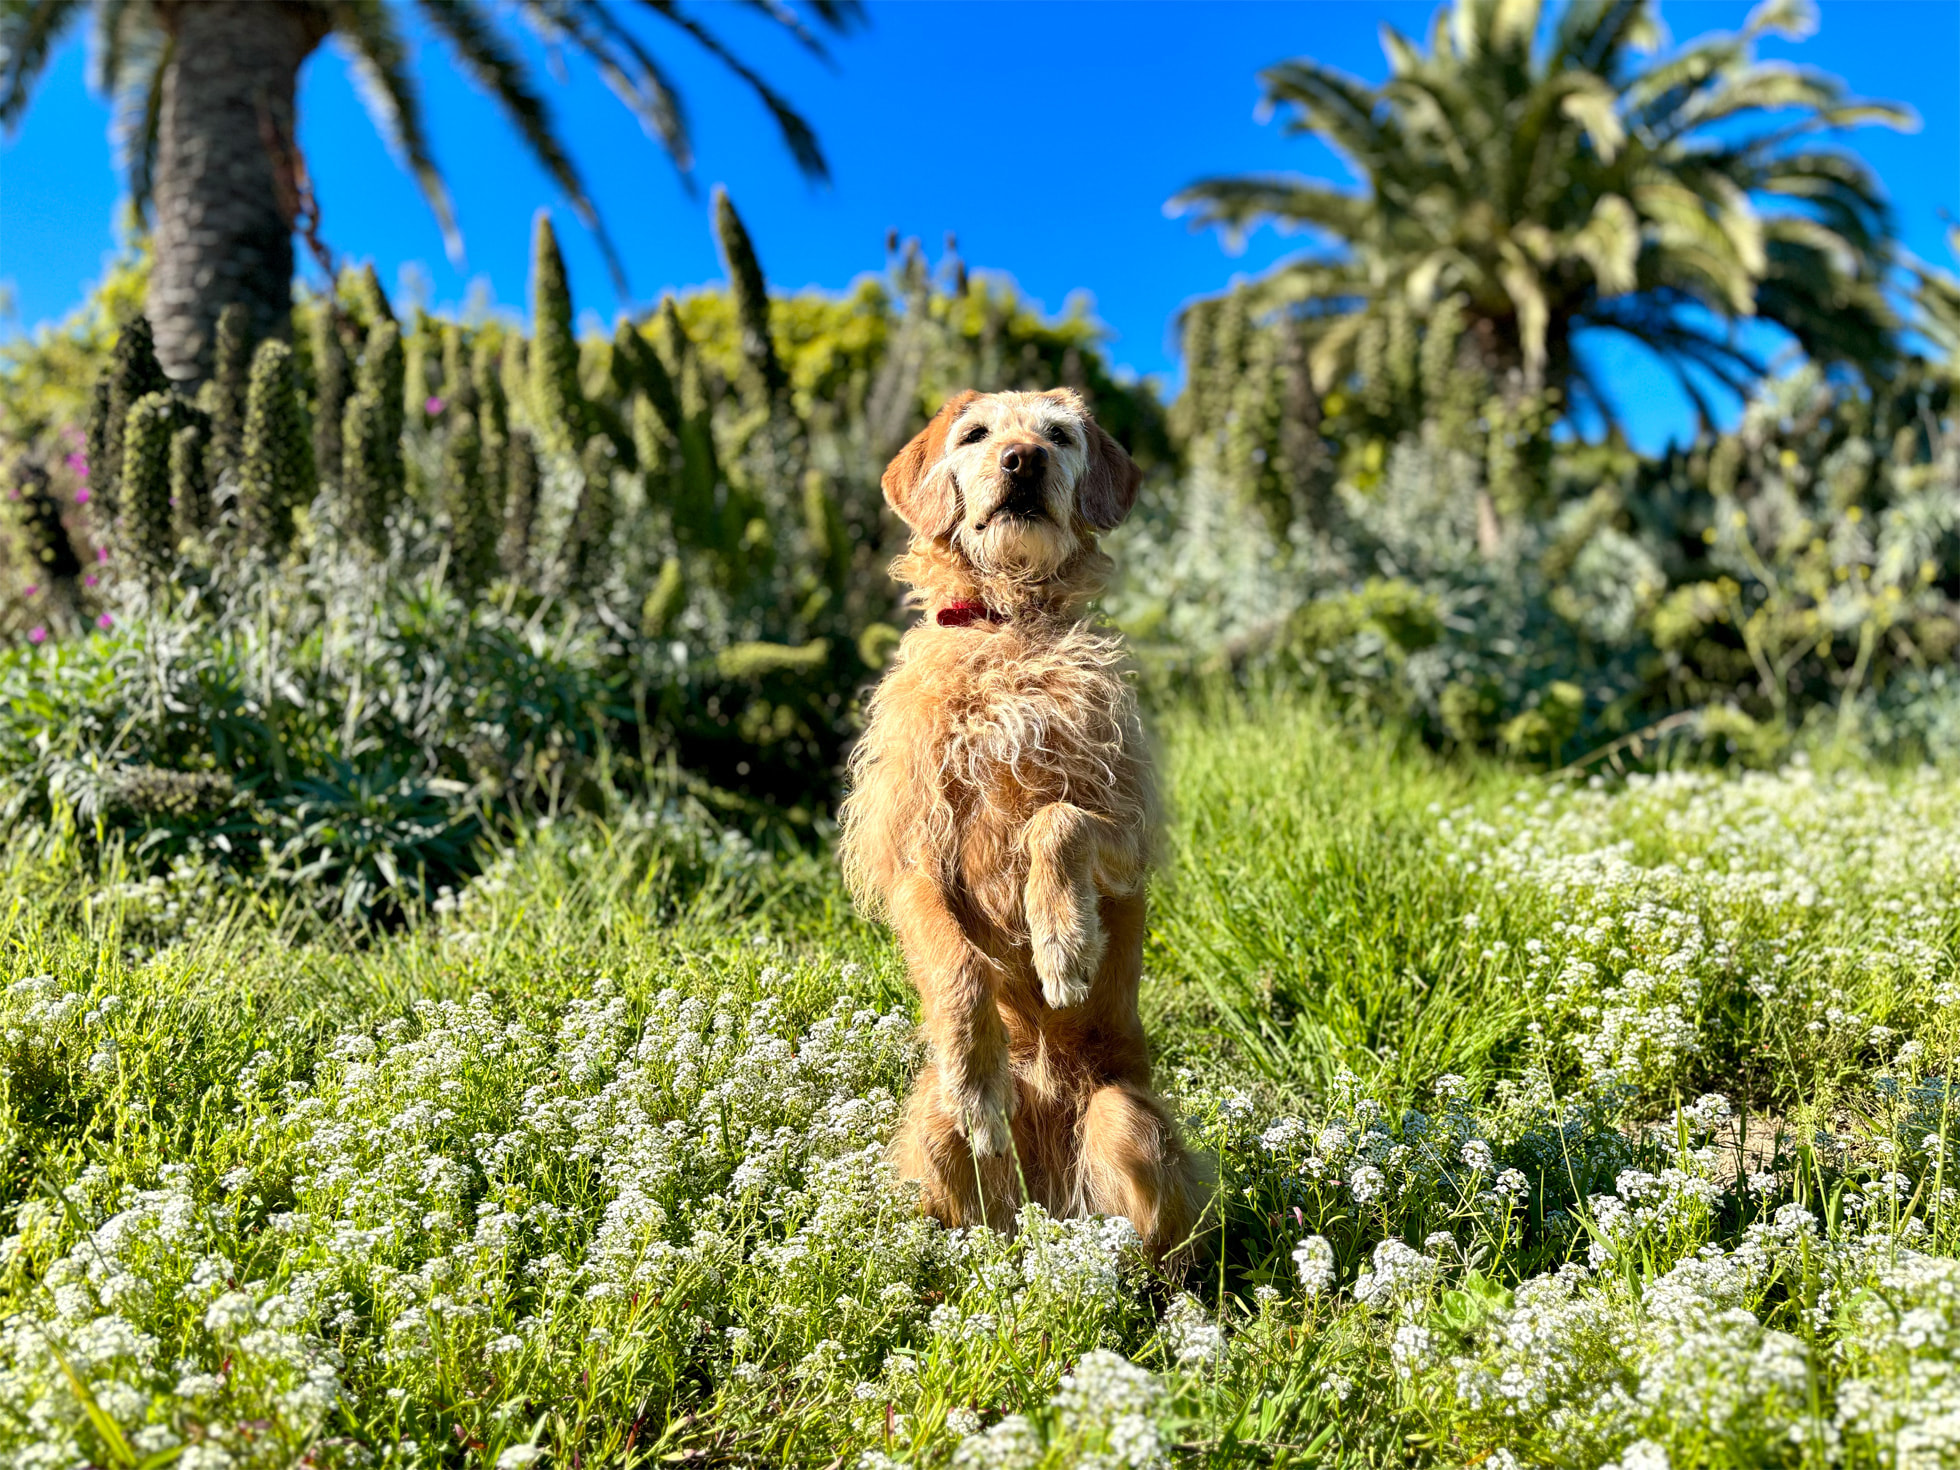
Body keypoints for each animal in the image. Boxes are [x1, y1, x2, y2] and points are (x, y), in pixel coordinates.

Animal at [842, 386, 1207, 1262]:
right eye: (976, 434)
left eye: (1060, 435)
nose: (1022, 460)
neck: (1006, 626)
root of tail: (1044, 1201)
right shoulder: (913, 856)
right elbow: (959, 965)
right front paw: (981, 1076)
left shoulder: (1125, 831)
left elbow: (1056, 822)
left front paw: (1063, 944)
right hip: (933, 1132)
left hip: (1128, 1124)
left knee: (1158, 1247)